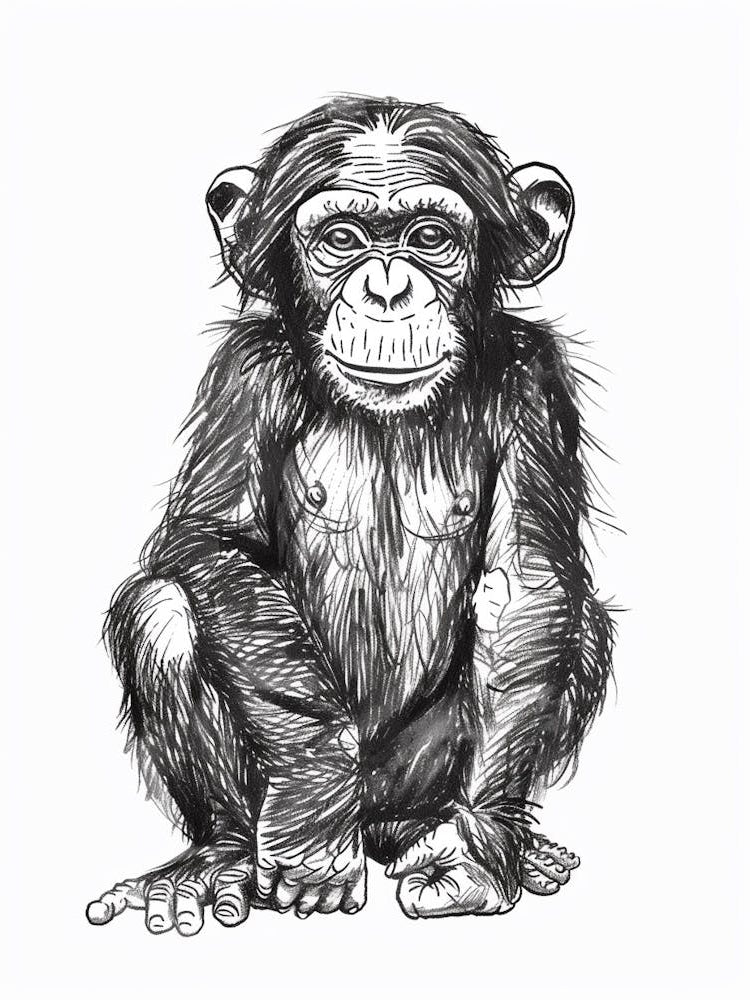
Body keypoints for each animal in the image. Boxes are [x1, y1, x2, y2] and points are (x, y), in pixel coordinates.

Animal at [86, 96, 613, 932]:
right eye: (341, 240)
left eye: (429, 237)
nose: (388, 292)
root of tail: (381, 823)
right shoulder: (245, 374)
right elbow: (212, 540)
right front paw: (311, 811)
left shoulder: (534, 378)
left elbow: (525, 580)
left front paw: (473, 860)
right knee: (160, 609)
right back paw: (218, 859)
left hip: (419, 778)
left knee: (580, 621)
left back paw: (507, 846)